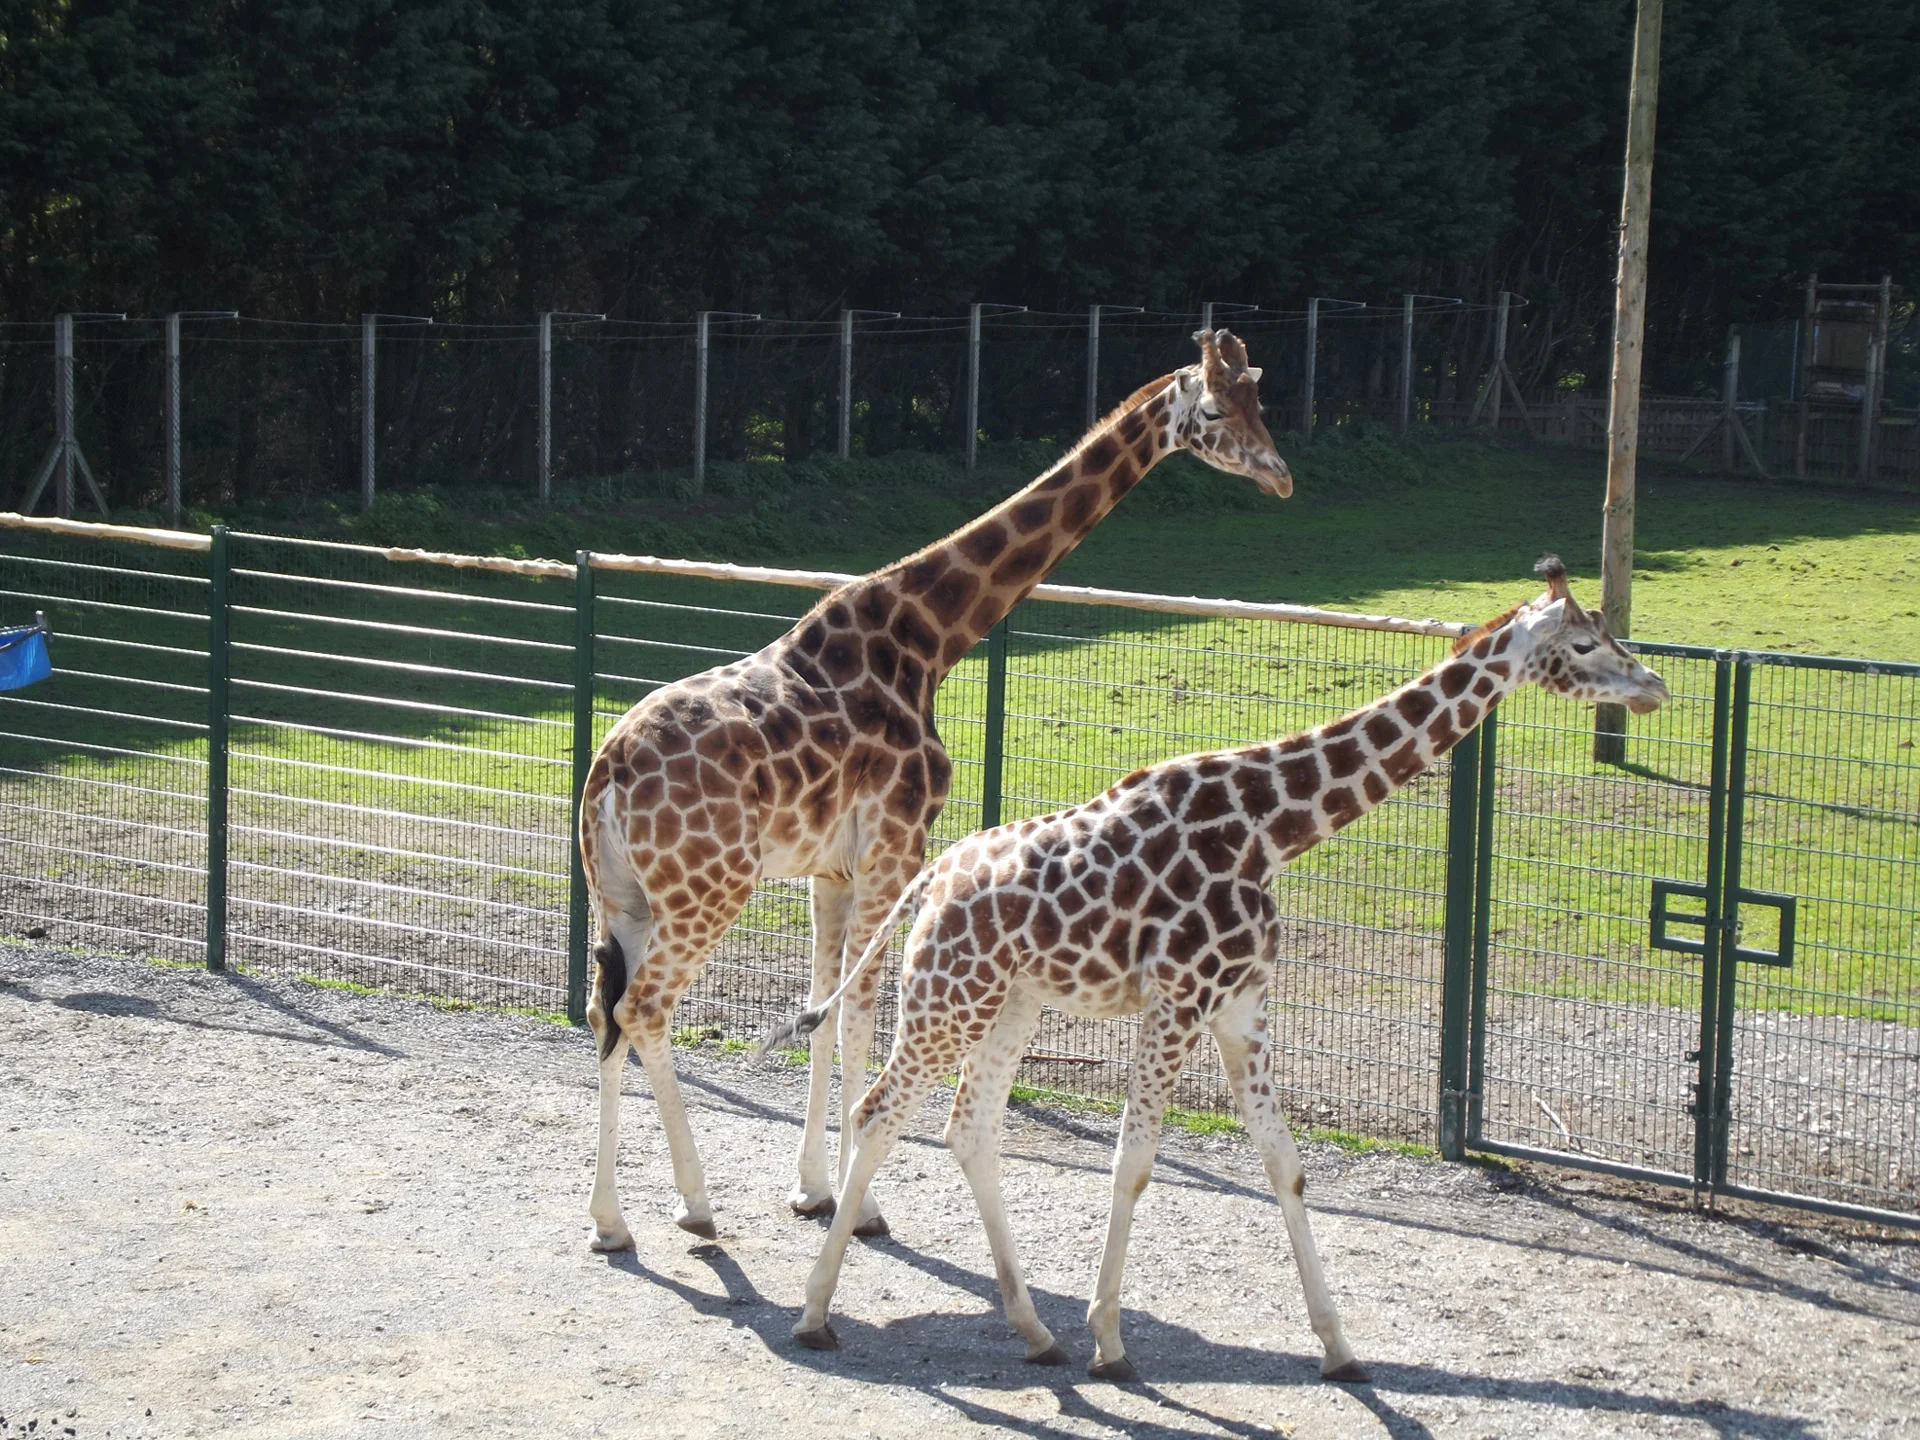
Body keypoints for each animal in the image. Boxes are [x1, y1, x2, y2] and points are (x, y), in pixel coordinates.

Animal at [580, 329, 1293, 1250]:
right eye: (1212, 409)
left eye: (1258, 400)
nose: (1279, 475)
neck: (929, 638)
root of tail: (605, 771)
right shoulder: (896, 847)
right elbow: (858, 1016)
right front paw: (863, 1207)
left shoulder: (832, 870)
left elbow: (821, 1010)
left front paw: (814, 1190)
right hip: (708, 889)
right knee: (645, 1010)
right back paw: (695, 1202)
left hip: (624, 895)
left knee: (604, 1011)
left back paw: (610, 1221)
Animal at [767, 557, 1668, 1380]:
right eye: (1584, 643)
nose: (1653, 684)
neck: (1271, 830)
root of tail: (932, 880)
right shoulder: (1179, 1001)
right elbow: (1134, 1163)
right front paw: (1110, 1341)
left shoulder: (1242, 1007)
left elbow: (1285, 1165)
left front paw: (1339, 1348)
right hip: (947, 995)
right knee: (880, 1112)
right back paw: (816, 1314)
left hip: (1009, 1002)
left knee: (969, 1126)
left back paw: (1034, 1331)